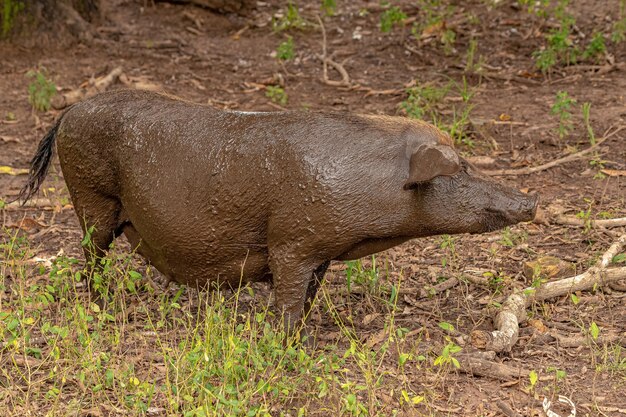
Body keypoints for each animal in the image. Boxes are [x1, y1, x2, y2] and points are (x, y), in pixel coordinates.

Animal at [19, 89, 536, 334]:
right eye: (458, 170)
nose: (532, 201)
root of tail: (69, 111)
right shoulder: (293, 240)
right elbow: (287, 298)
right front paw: (286, 341)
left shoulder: (321, 251)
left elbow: (309, 295)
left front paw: (306, 329)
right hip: (90, 194)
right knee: (90, 252)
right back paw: (100, 304)